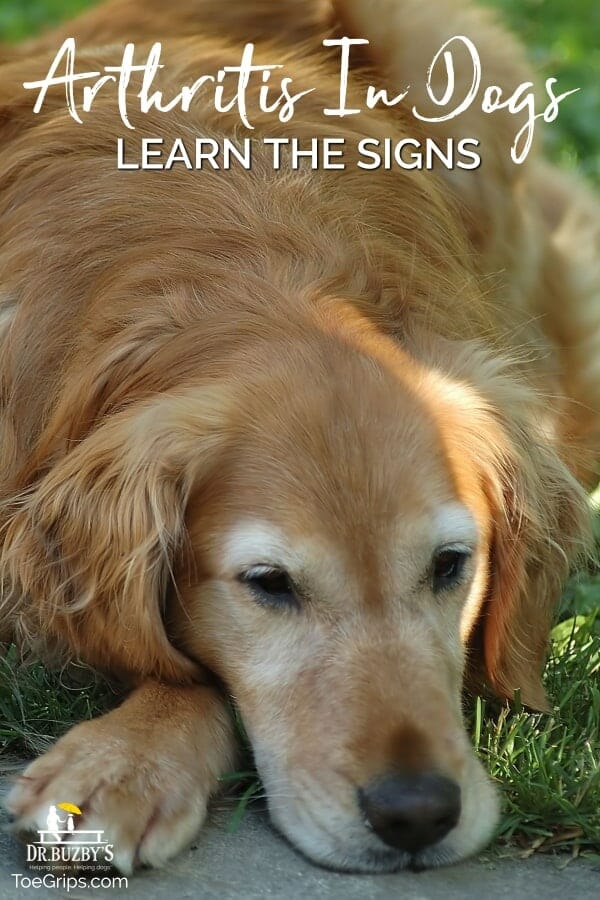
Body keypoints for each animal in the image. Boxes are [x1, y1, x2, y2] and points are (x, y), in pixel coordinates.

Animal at [0, 0, 596, 880]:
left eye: (451, 565)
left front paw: (124, 761)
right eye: (269, 584)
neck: (257, 269)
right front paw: (125, 759)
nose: (417, 814)